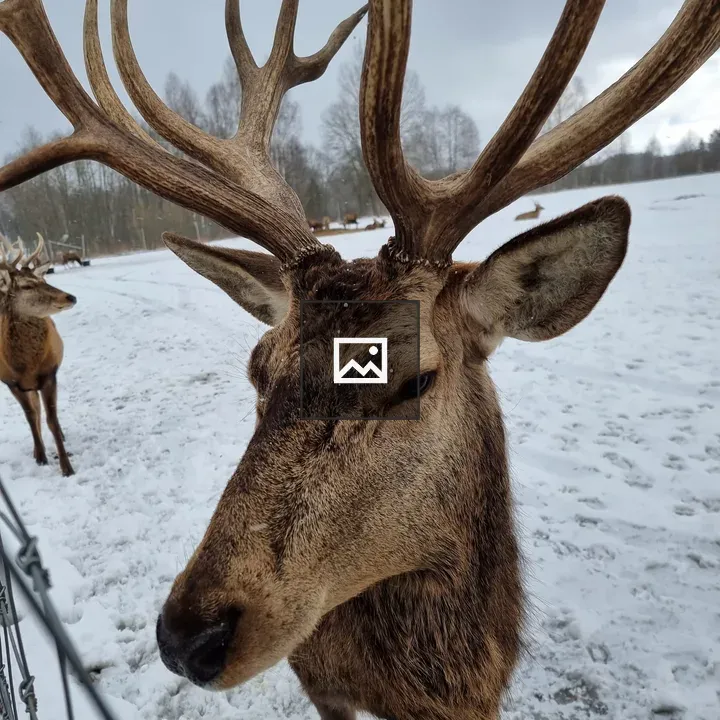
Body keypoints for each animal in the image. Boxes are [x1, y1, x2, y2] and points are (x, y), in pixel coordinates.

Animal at [0, 233, 76, 477]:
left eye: (42, 280)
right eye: (26, 285)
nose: (70, 297)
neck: (26, 367)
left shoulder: (49, 374)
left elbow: (52, 419)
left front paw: (66, 467)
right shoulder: (11, 383)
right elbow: (31, 417)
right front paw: (41, 456)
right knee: (35, 411)